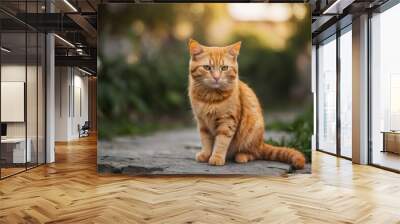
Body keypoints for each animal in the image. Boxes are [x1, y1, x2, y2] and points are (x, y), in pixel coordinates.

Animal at [188, 38, 306, 169]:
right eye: (207, 67)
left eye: (224, 68)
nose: (216, 77)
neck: (210, 97)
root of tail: (261, 142)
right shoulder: (202, 123)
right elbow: (206, 141)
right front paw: (206, 155)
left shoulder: (227, 122)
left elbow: (221, 142)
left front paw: (217, 157)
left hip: (252, 131)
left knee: (254, 154)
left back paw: (241, 156)